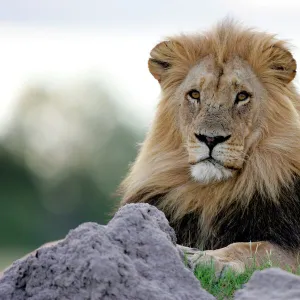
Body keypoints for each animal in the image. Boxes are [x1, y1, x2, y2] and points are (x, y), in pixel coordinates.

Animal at [118, 19, 300, 274]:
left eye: (242, 96)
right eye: (195, 94)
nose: (210, 139)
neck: (212, 192)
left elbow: (251, 247)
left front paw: (207, 259)